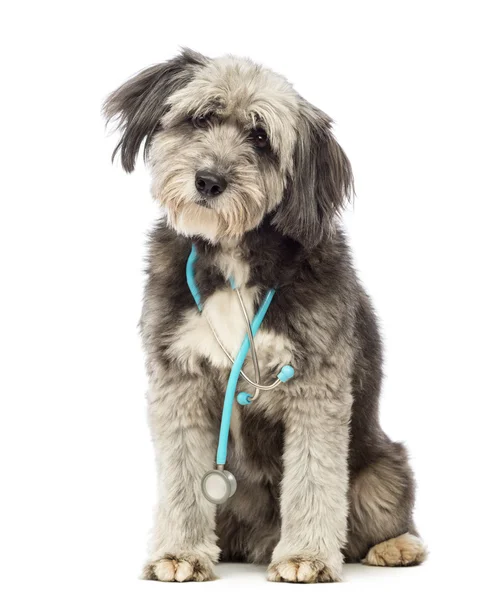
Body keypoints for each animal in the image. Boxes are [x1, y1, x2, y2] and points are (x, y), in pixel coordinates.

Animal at [104, 49, 426, 584]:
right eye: (201, 118)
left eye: (260, 137)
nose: (209, 181)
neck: (235, 259)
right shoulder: (178, 379)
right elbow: (182, 473)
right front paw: (180, 551)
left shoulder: (317, 384)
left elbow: (313, 475)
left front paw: (306, 556)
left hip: (383, 469)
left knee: (383, 512)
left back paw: (396, 545)